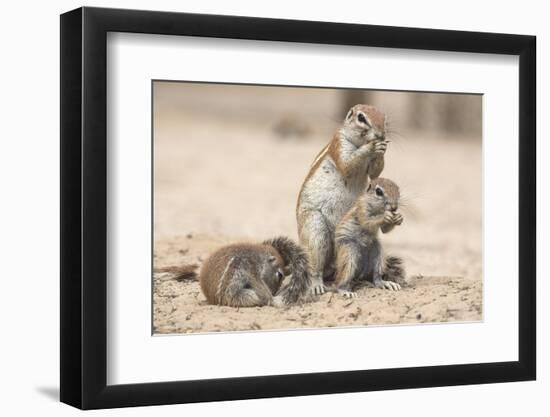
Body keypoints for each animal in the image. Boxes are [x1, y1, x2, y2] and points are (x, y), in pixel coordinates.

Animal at [296, 103, 390, 292]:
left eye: (384, 118)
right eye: (361, 118)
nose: (381, 134)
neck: (359, 141)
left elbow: (375, 172)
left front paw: (381, 149)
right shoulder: (339, 144)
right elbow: (348, 164)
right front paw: (371, 147)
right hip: (315, 228)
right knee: (315, 264)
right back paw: (317, 284)